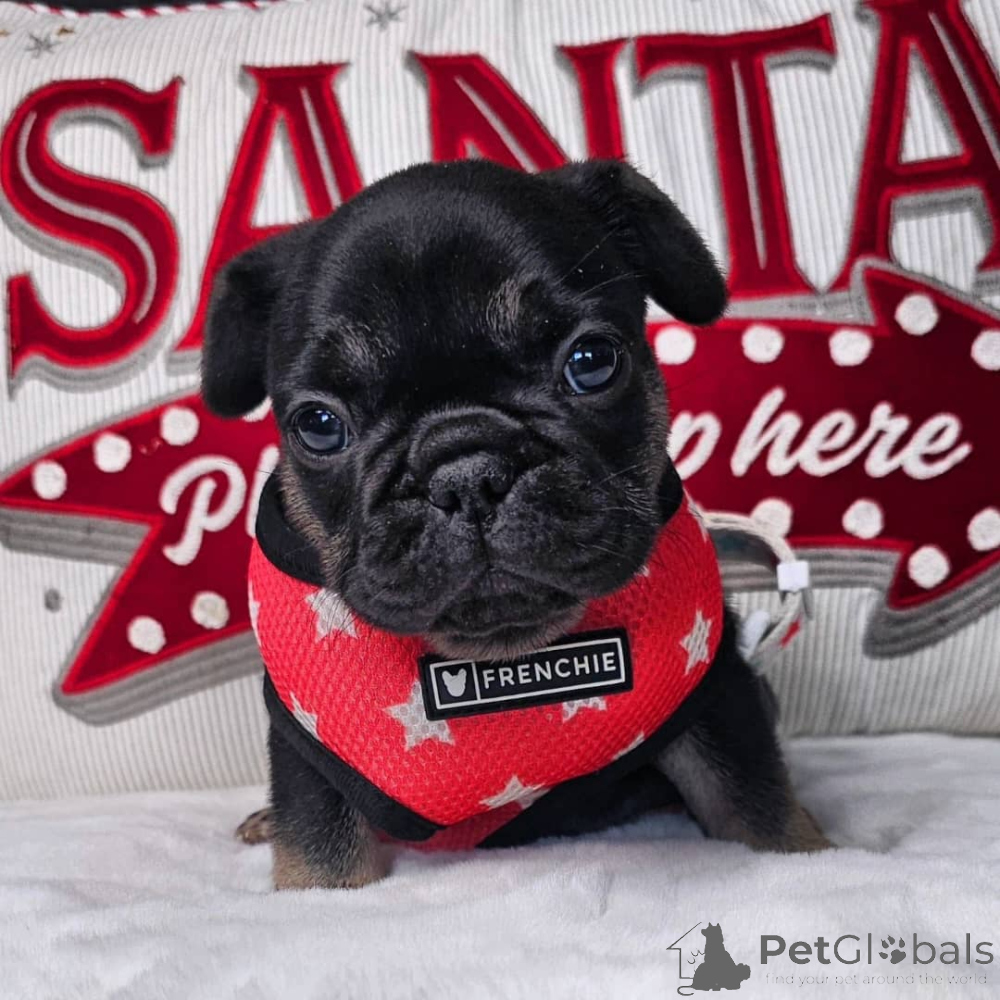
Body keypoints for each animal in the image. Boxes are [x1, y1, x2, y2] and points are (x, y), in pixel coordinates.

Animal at [202, 159, 830, 890]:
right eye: (320, 425)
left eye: (591, 361)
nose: (465, 473)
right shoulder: (306, 748)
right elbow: (319, 849)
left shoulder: (718, 696)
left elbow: (757, 807)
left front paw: (808, 857)